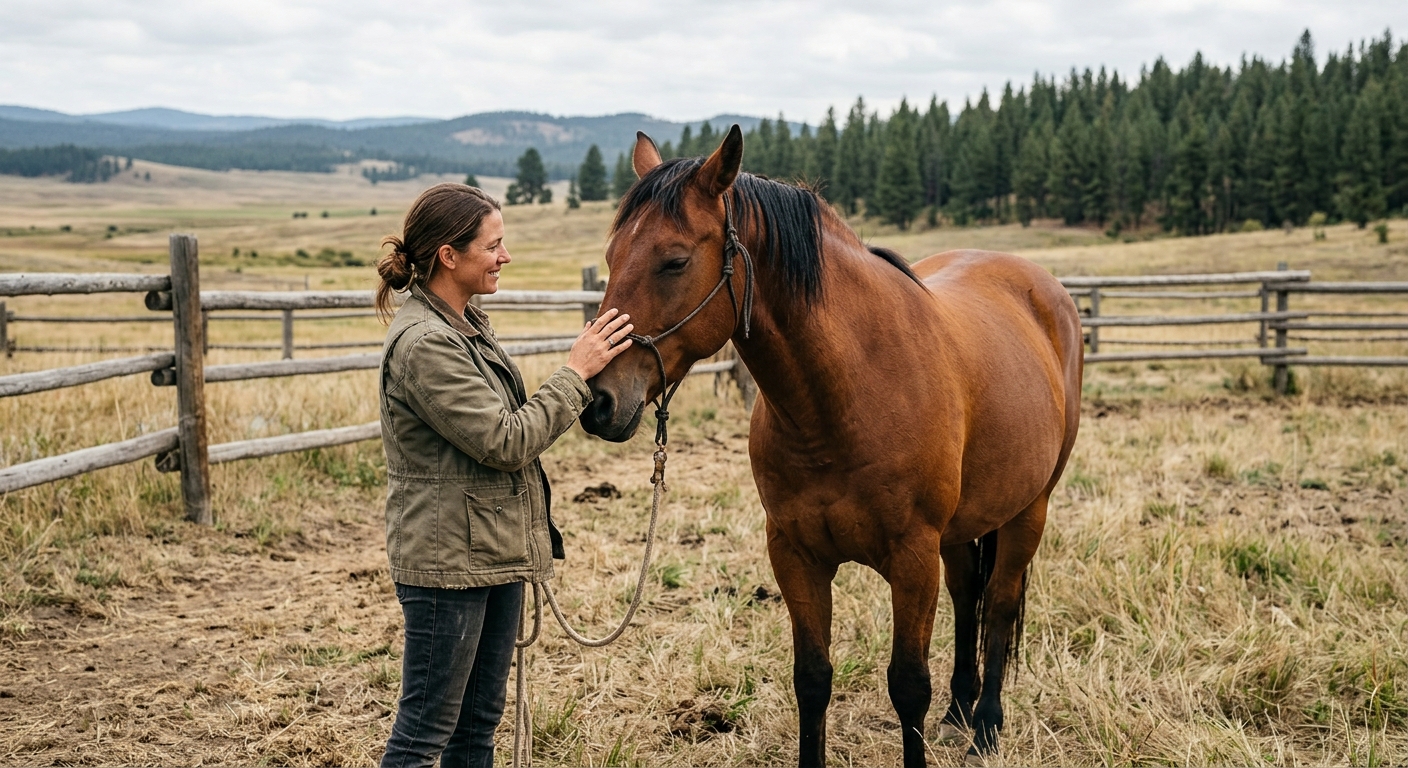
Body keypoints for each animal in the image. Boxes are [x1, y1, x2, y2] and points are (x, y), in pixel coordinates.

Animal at [579, 125, 1083, 766]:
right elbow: (813, 679)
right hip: (964, 526)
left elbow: (908, 685)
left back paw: (987, 726)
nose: (598, 401)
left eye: (675, 261)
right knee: (969, 594)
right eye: (612, 258)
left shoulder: (913, 558)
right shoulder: (796, 555)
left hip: (1029, 509)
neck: (845, 397)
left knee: (997, 602)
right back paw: (957, 714)